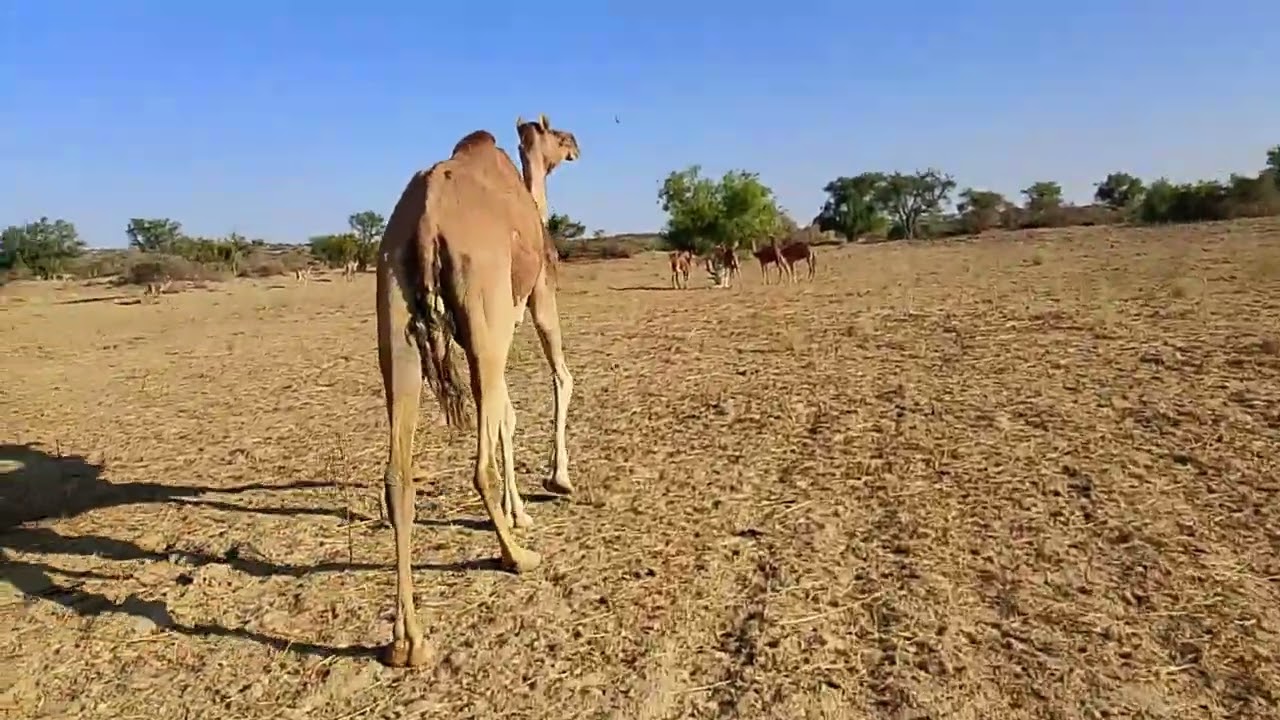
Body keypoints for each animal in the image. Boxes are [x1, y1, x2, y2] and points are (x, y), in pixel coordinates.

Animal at [374, 113, 578, 668]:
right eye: (559, 136)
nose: (576, 145)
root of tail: (425, 222)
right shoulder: (536, 295)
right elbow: (558, 380)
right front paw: (554, 483)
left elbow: (505, 414)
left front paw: (519, 509)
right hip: (484, 311)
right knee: (478, 465)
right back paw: (517, 557)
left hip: (394, 314)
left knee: (398, 475)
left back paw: (408, 641)